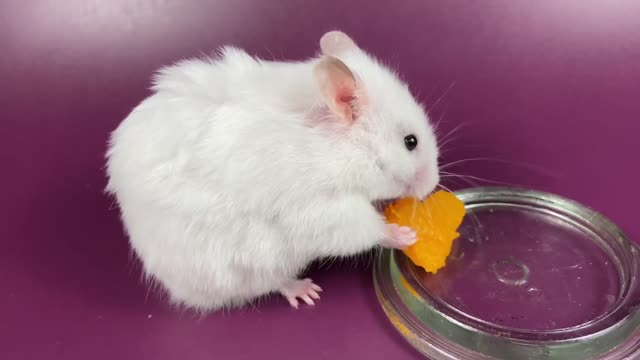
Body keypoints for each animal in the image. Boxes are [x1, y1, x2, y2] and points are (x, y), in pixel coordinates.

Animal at [105, 32, 440, 310]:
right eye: (411, 142)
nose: (432, 187)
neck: (341, 147)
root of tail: (181, 290)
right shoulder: (318, 208)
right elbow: (363, 227)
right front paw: (404, 235)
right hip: (252, 262)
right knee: (272, 282)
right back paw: (305, 291)